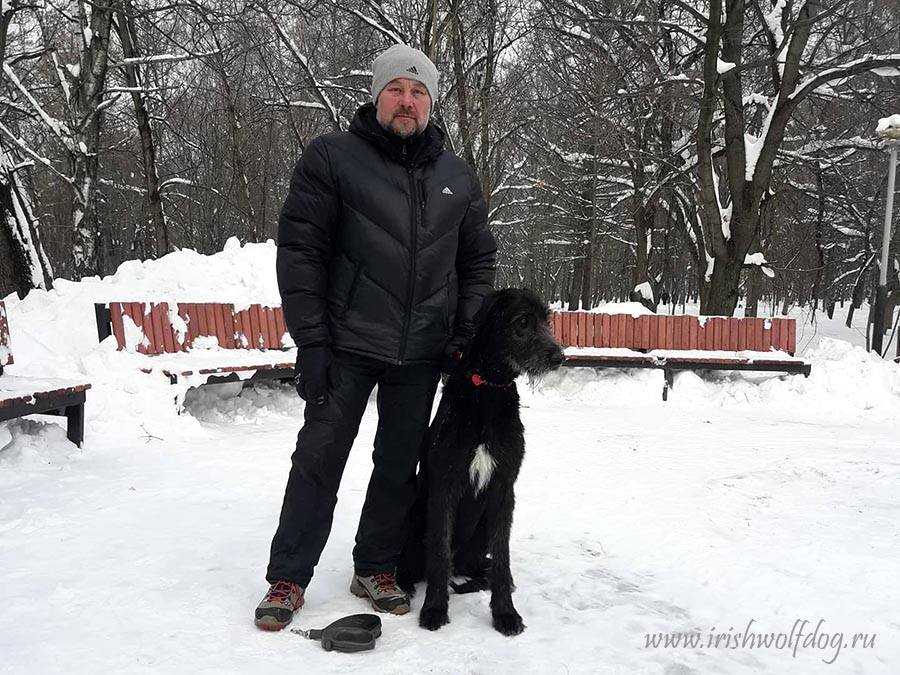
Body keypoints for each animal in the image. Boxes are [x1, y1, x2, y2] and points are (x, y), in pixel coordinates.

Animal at [408, 290, 564, 632]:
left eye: (546, 320)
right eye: (523, 321)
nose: (560, 357)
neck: (489, 391)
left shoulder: (504, 486)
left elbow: (503, 555)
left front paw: (505, 612)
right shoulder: (445, 484)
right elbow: (438, 552)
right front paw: (434, 608)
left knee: (482, 563)